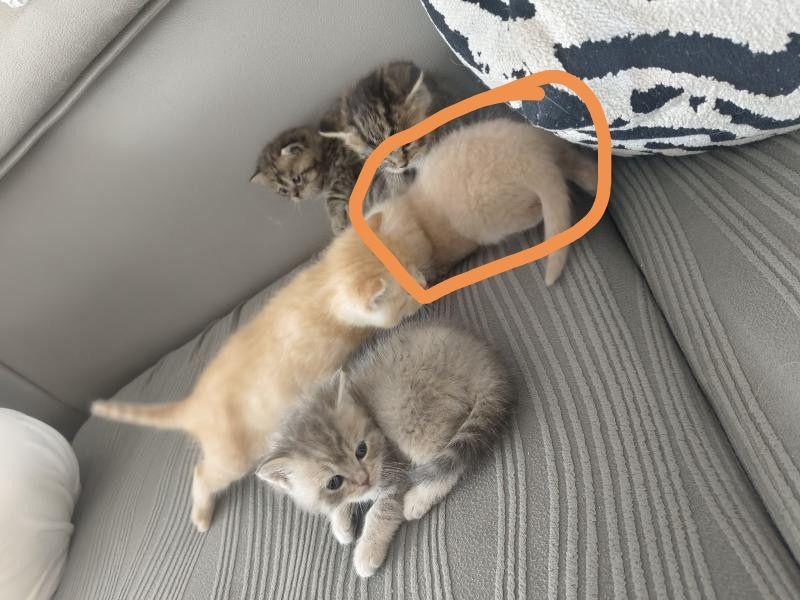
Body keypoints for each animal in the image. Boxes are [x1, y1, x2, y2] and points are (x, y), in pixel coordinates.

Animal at [91, 213, 425, 532]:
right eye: (407, 292)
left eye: (413, 265)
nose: (424, 282)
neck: (319, 292)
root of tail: (192, 403)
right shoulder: (324, 371)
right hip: (232, 459)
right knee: (202, 472)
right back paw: (201, 515)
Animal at [256, 322, 512, 578]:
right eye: (333, 482)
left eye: (362, 450)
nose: (364, 479)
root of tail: (481, 359)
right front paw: (341, 523)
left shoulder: (398, 468)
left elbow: (382, 509)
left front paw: (367, 551)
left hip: (411, 419)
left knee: (450, 463)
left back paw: (418, 498)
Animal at [372, 118, 597, 285]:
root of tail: (530, 161)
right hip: (539, 139)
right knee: (575, 163)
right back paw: (593, 182)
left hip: (494, 219)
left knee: (536, 212)